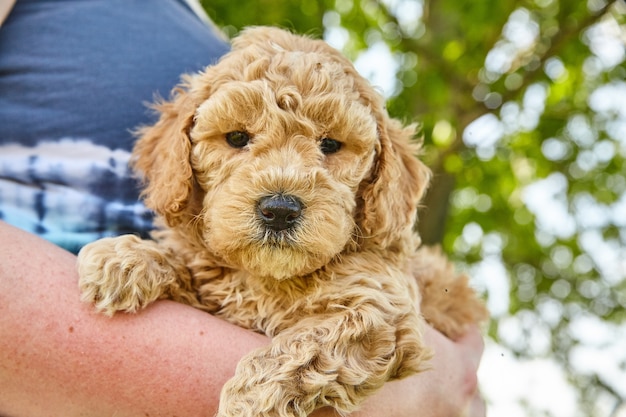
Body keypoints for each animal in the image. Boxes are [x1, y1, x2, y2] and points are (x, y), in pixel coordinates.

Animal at [78, 26, 486, 416]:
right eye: (237, 137)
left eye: (330, 145)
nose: (279, 210)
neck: (268, 280)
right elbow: (190, 264)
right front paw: (125, 259)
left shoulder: (381, 308)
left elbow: (307, 344)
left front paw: (247, 402)